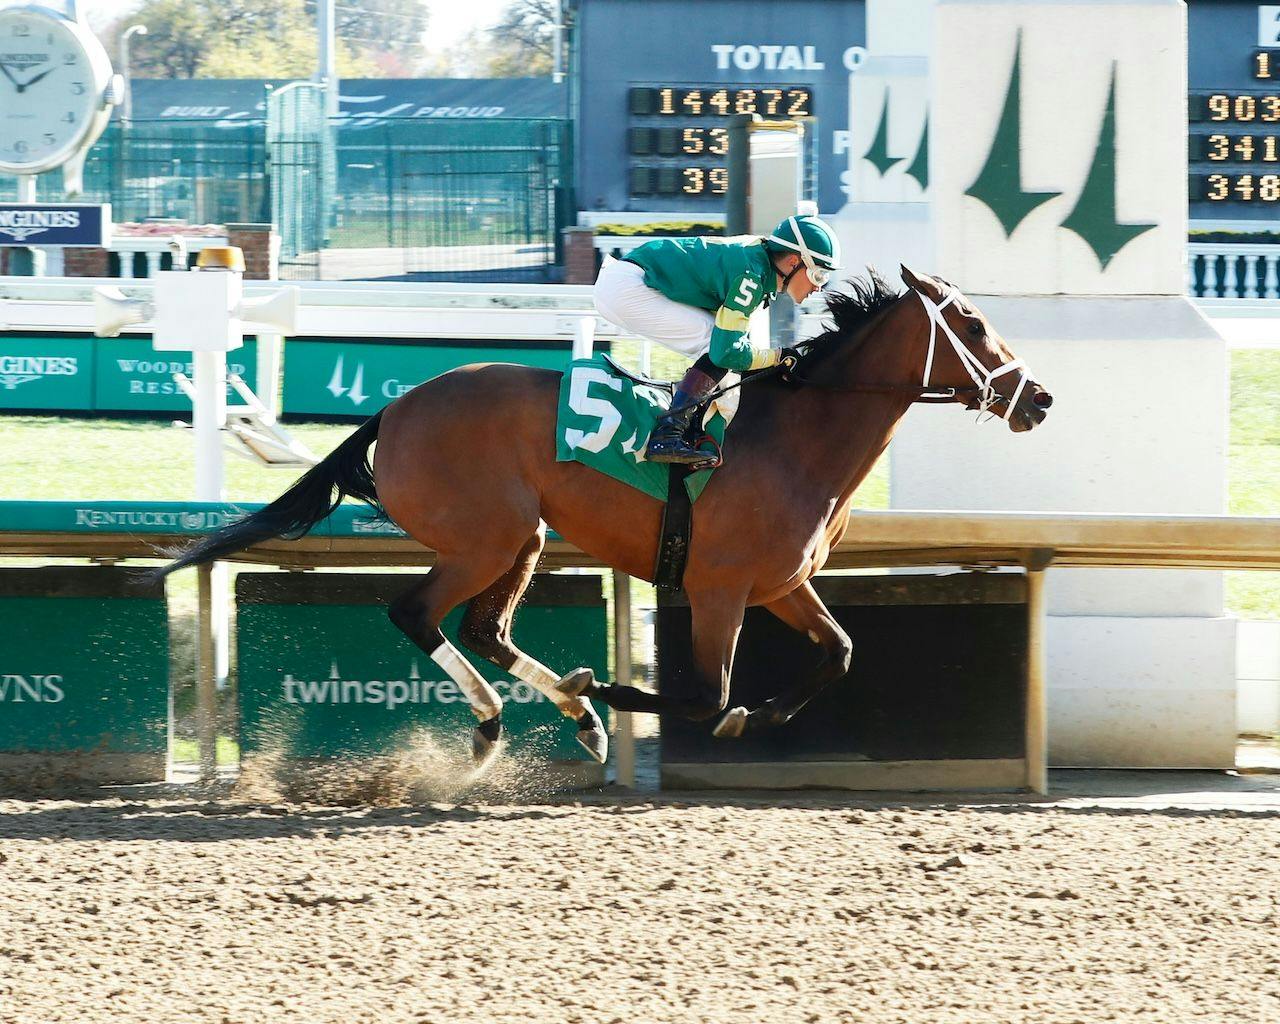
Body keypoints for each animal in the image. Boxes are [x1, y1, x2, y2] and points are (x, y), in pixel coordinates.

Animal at [152, 263, 1049, 768]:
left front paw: (761, 714)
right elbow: (705, 697)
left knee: (483, 629)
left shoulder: (781, 585)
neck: (796, 441)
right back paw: (507, 722)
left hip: (523, 537)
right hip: (484, 537)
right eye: (973, 324)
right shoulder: (719, 589)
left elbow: (840, 652)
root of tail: (397, 409)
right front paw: (616, 688)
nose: (1037, 397)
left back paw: (569, 715)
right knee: (416, 613)